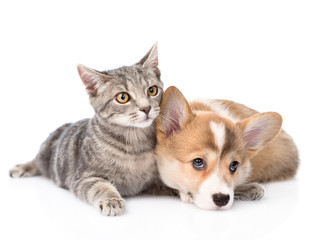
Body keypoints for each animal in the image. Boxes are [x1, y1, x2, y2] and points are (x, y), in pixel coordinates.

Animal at [9, 42, 166, 216]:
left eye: (152, 90)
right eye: (122, 97)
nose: (146, 108)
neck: (135, 144)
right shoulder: (85, 177)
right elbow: (99, 186)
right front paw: (111, 199)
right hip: (45, 153)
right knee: (37, 161)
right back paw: (23, 167)